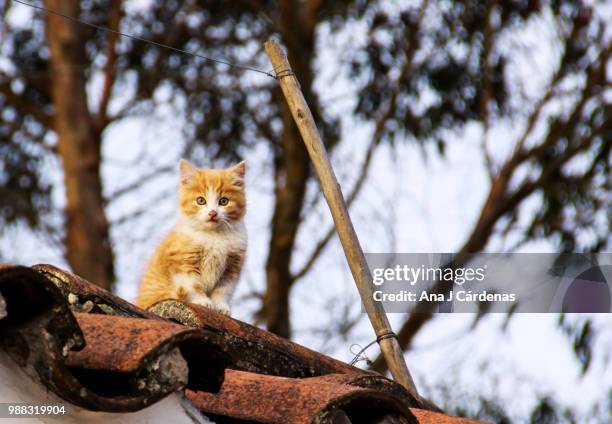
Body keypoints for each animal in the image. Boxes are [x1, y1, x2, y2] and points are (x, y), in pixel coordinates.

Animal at [136, 159, 246, 314]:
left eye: (224, 201)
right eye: (201, 200)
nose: (212, 213)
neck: (213, 236)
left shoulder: (233, 266)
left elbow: (224, 289)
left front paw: (221, 306)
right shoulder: (183, 260)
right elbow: (193, 284)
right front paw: (202, 301)